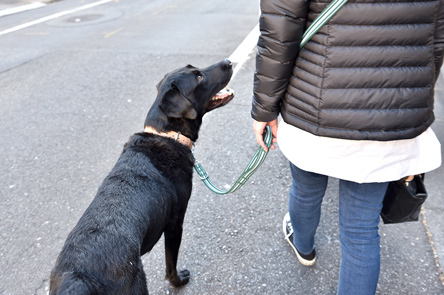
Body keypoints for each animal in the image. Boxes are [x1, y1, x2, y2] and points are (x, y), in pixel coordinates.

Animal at [49, 59, 234, 294]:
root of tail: (79, 278)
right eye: (199, 77)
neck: (167, 134)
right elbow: (170, 264)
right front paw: (179, 281)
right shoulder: (175, 225)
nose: (228, 62)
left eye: (195, 68)